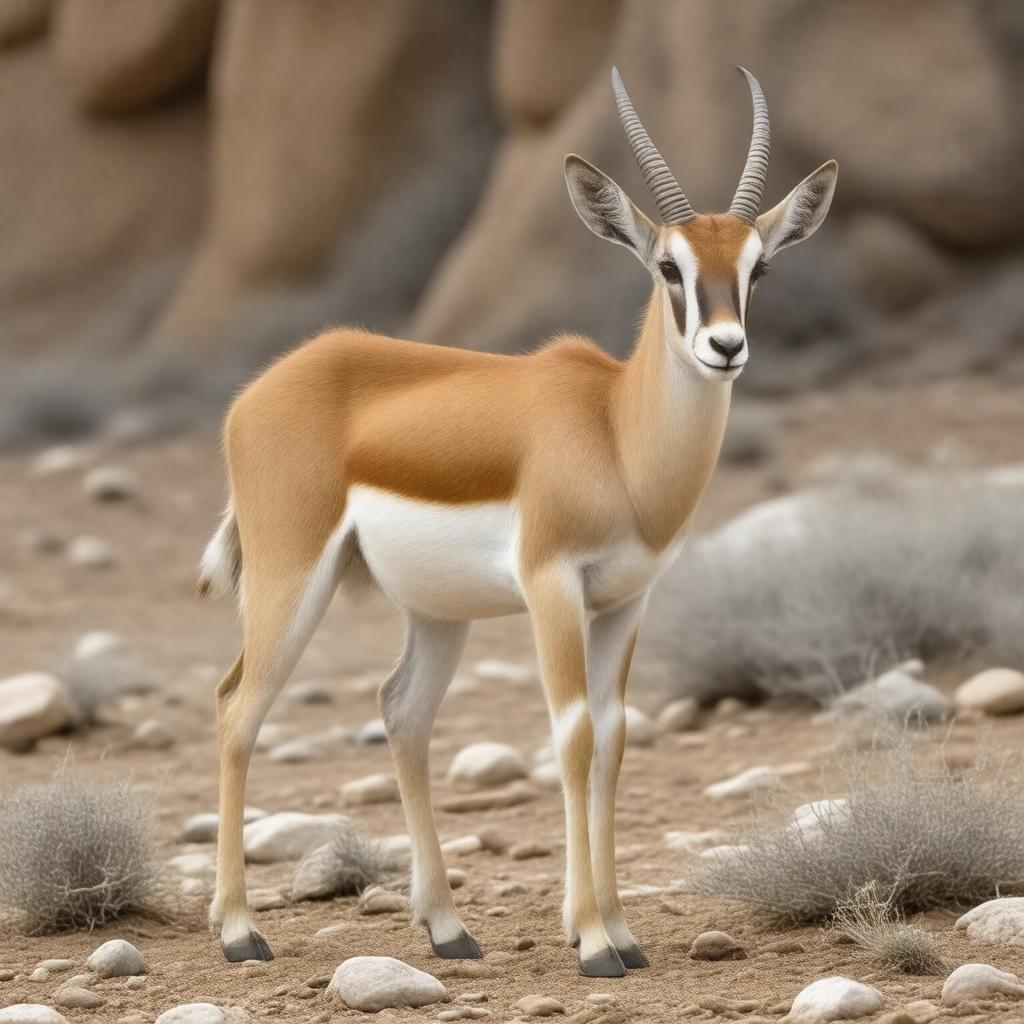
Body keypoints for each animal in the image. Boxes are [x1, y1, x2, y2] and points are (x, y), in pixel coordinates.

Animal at [200, 66, 837, 977]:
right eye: (669, 267)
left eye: (760, 268)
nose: (726, 347)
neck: (615, 433)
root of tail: (261, 389)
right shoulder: (552, 588)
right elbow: (571, 736)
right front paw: (596, 943)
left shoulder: (625, 601)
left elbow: (613, 740)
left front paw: (622, 933)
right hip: (291, 582)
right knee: (236, 709)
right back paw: (240, 933)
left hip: (436, 614)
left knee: (402, 713)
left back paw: (448, 929)